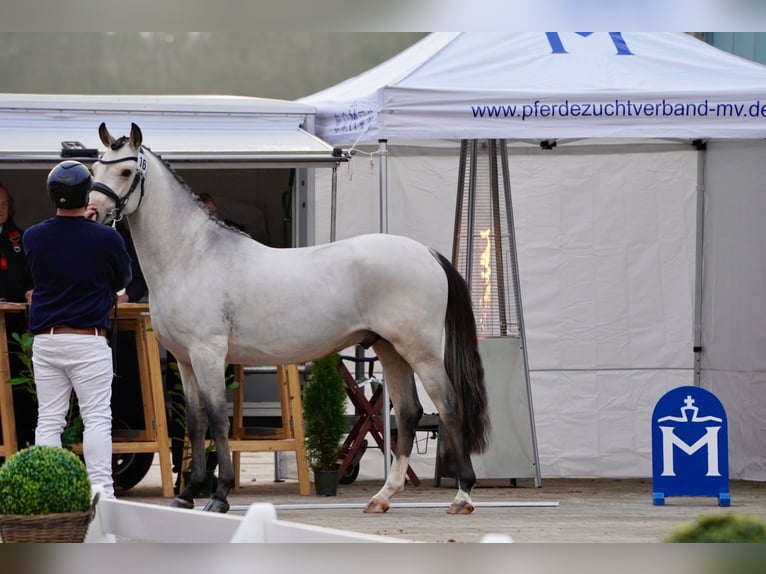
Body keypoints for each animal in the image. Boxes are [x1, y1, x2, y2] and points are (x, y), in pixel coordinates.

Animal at [87, 122, 488, 516]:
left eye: (125, 171)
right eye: (96, 169)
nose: (93, 213)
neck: (192, 257)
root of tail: (427, 253)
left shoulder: (209, 355)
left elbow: (217, 421)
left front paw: (219, 495)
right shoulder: (184, 360)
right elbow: (196, 423)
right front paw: (187, 494)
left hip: (421, 351)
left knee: (449, 407)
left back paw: (462, 495)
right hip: (390, 349)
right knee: (408, 412)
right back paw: (383, 497)